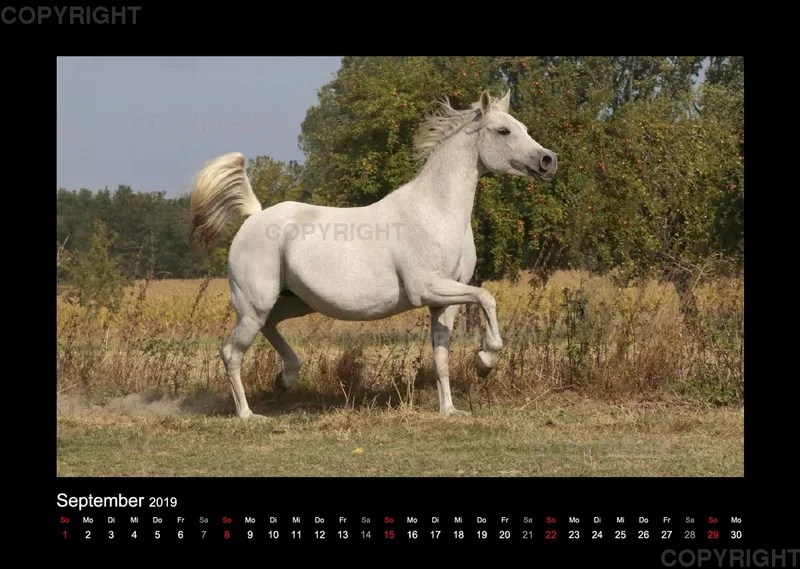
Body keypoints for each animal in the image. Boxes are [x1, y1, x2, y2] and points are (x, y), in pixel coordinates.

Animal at [188, 89, 557, 420]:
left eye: (523, 127)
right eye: (503, 130)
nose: (548, 161)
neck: (435, 211)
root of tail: (254, 216)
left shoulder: (445, 301)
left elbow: (441, 356)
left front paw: (451, 410)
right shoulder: (428, 287)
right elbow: (487, 297)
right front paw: (485, 361)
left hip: (294, 302)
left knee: (270, 327)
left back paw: (286, 378)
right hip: (255, 305)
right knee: (232, 353)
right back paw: (248, 415)